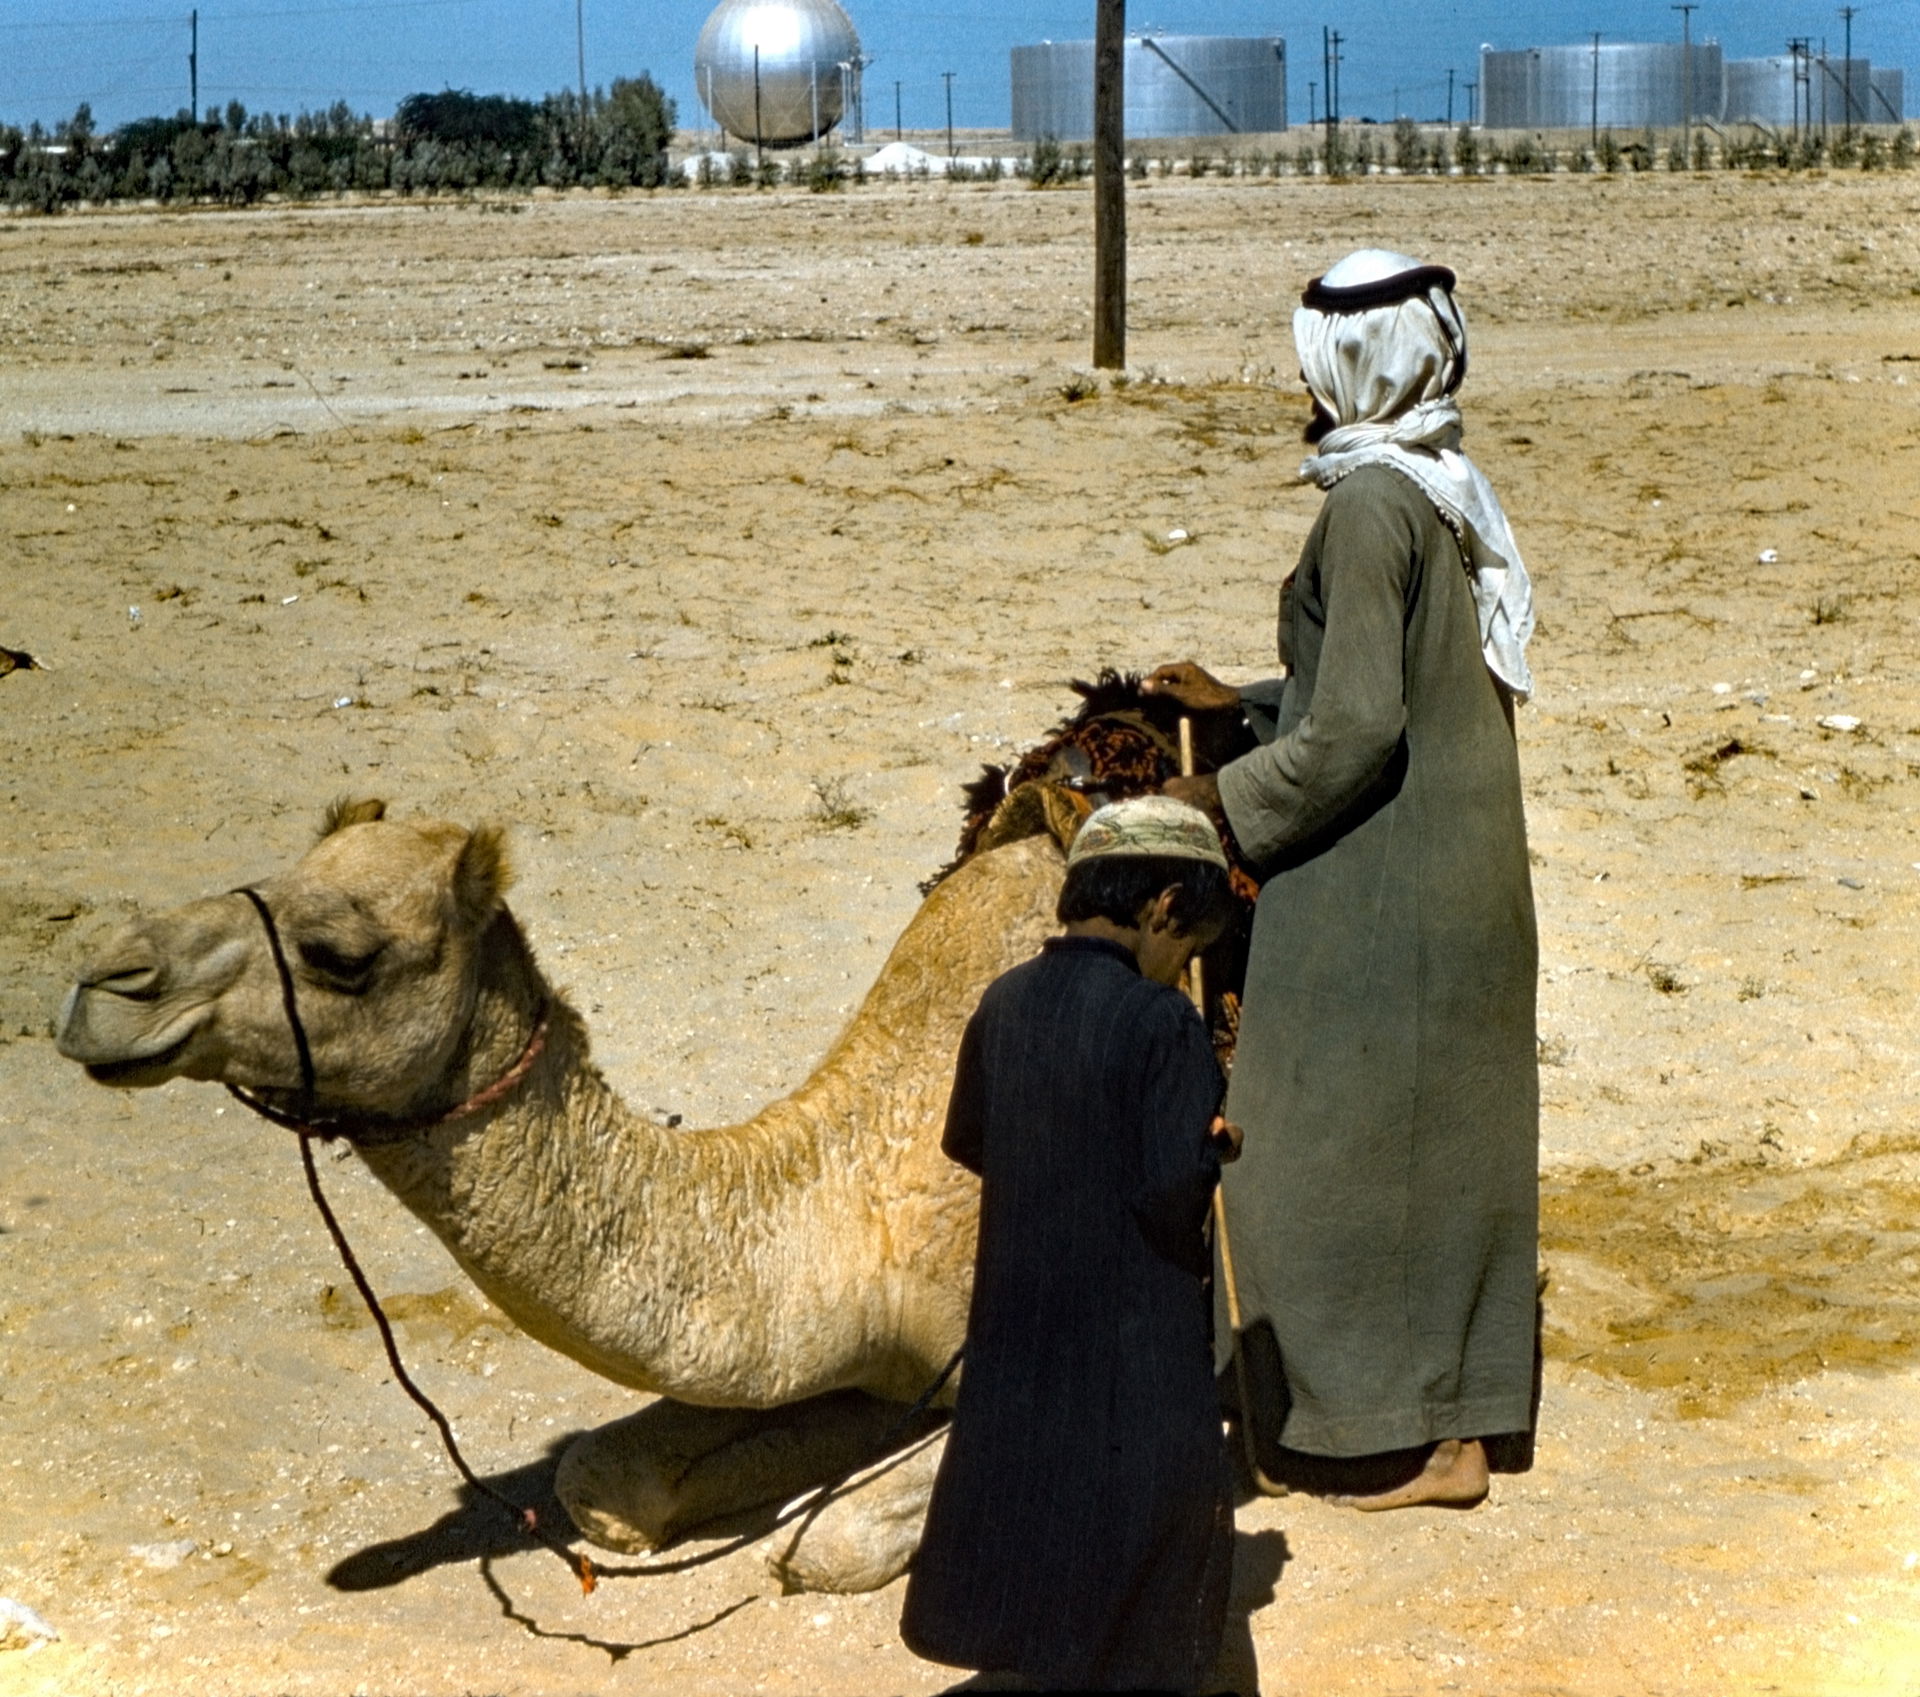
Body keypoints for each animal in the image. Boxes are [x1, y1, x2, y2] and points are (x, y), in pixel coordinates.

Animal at [55, 680, 1252, 1594]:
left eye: (341, 953)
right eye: (275, 875)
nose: (106, 982)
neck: (845, 1194)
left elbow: (833, 1539)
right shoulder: (855, 1343)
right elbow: (603, 1479)